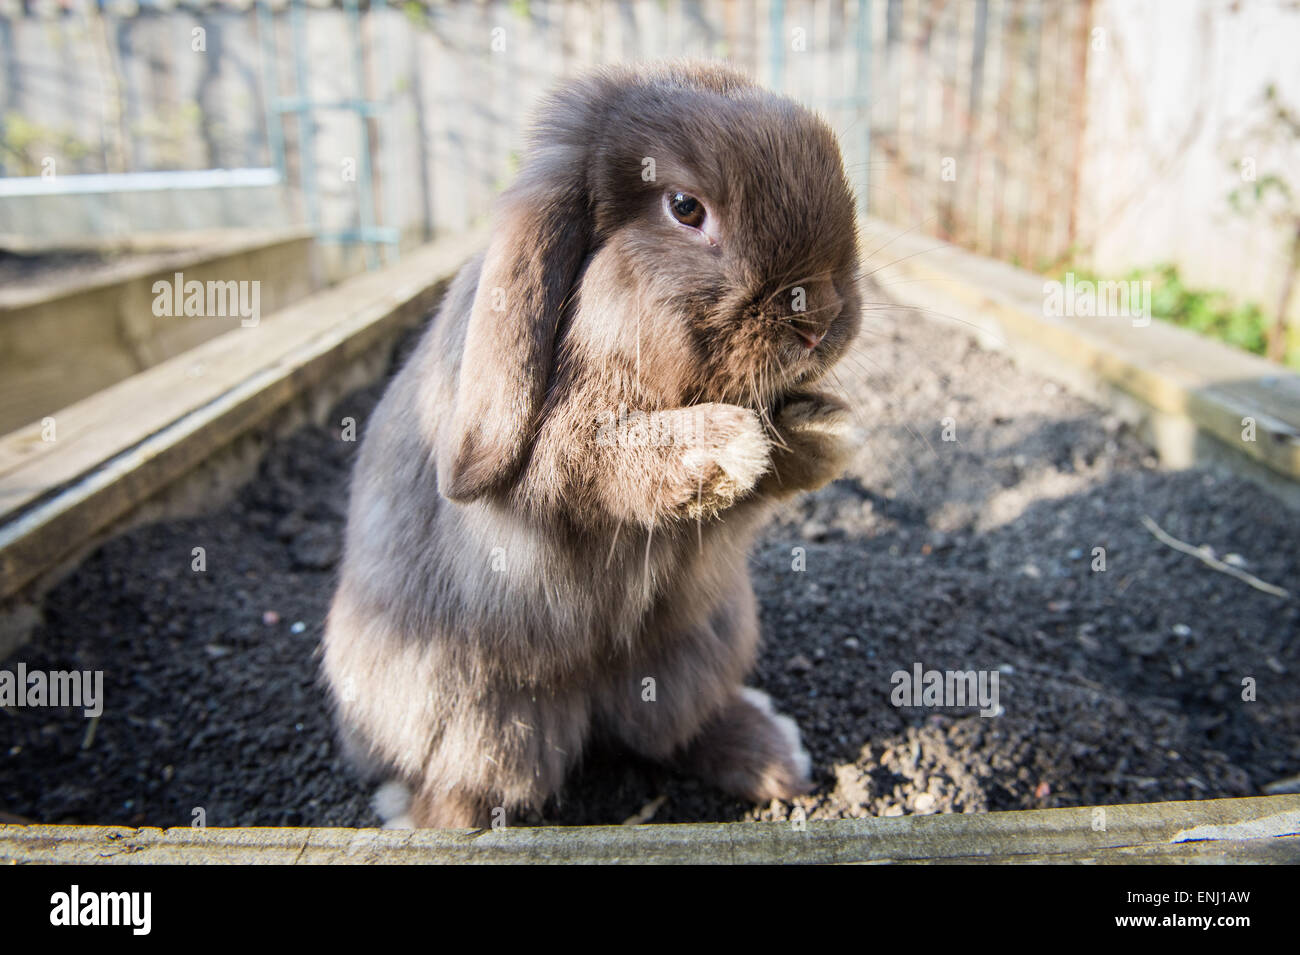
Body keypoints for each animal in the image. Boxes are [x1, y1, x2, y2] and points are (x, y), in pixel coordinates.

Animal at [321, 61, 862, 828]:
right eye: (685, 208)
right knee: (476, 778)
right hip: (483, 715)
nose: (821, 319)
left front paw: (825, 427)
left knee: (670, 726)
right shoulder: (556, 460)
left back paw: (775, 755)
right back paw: (420, 815)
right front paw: (726, 443)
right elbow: (597, 460)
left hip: (698, 644)